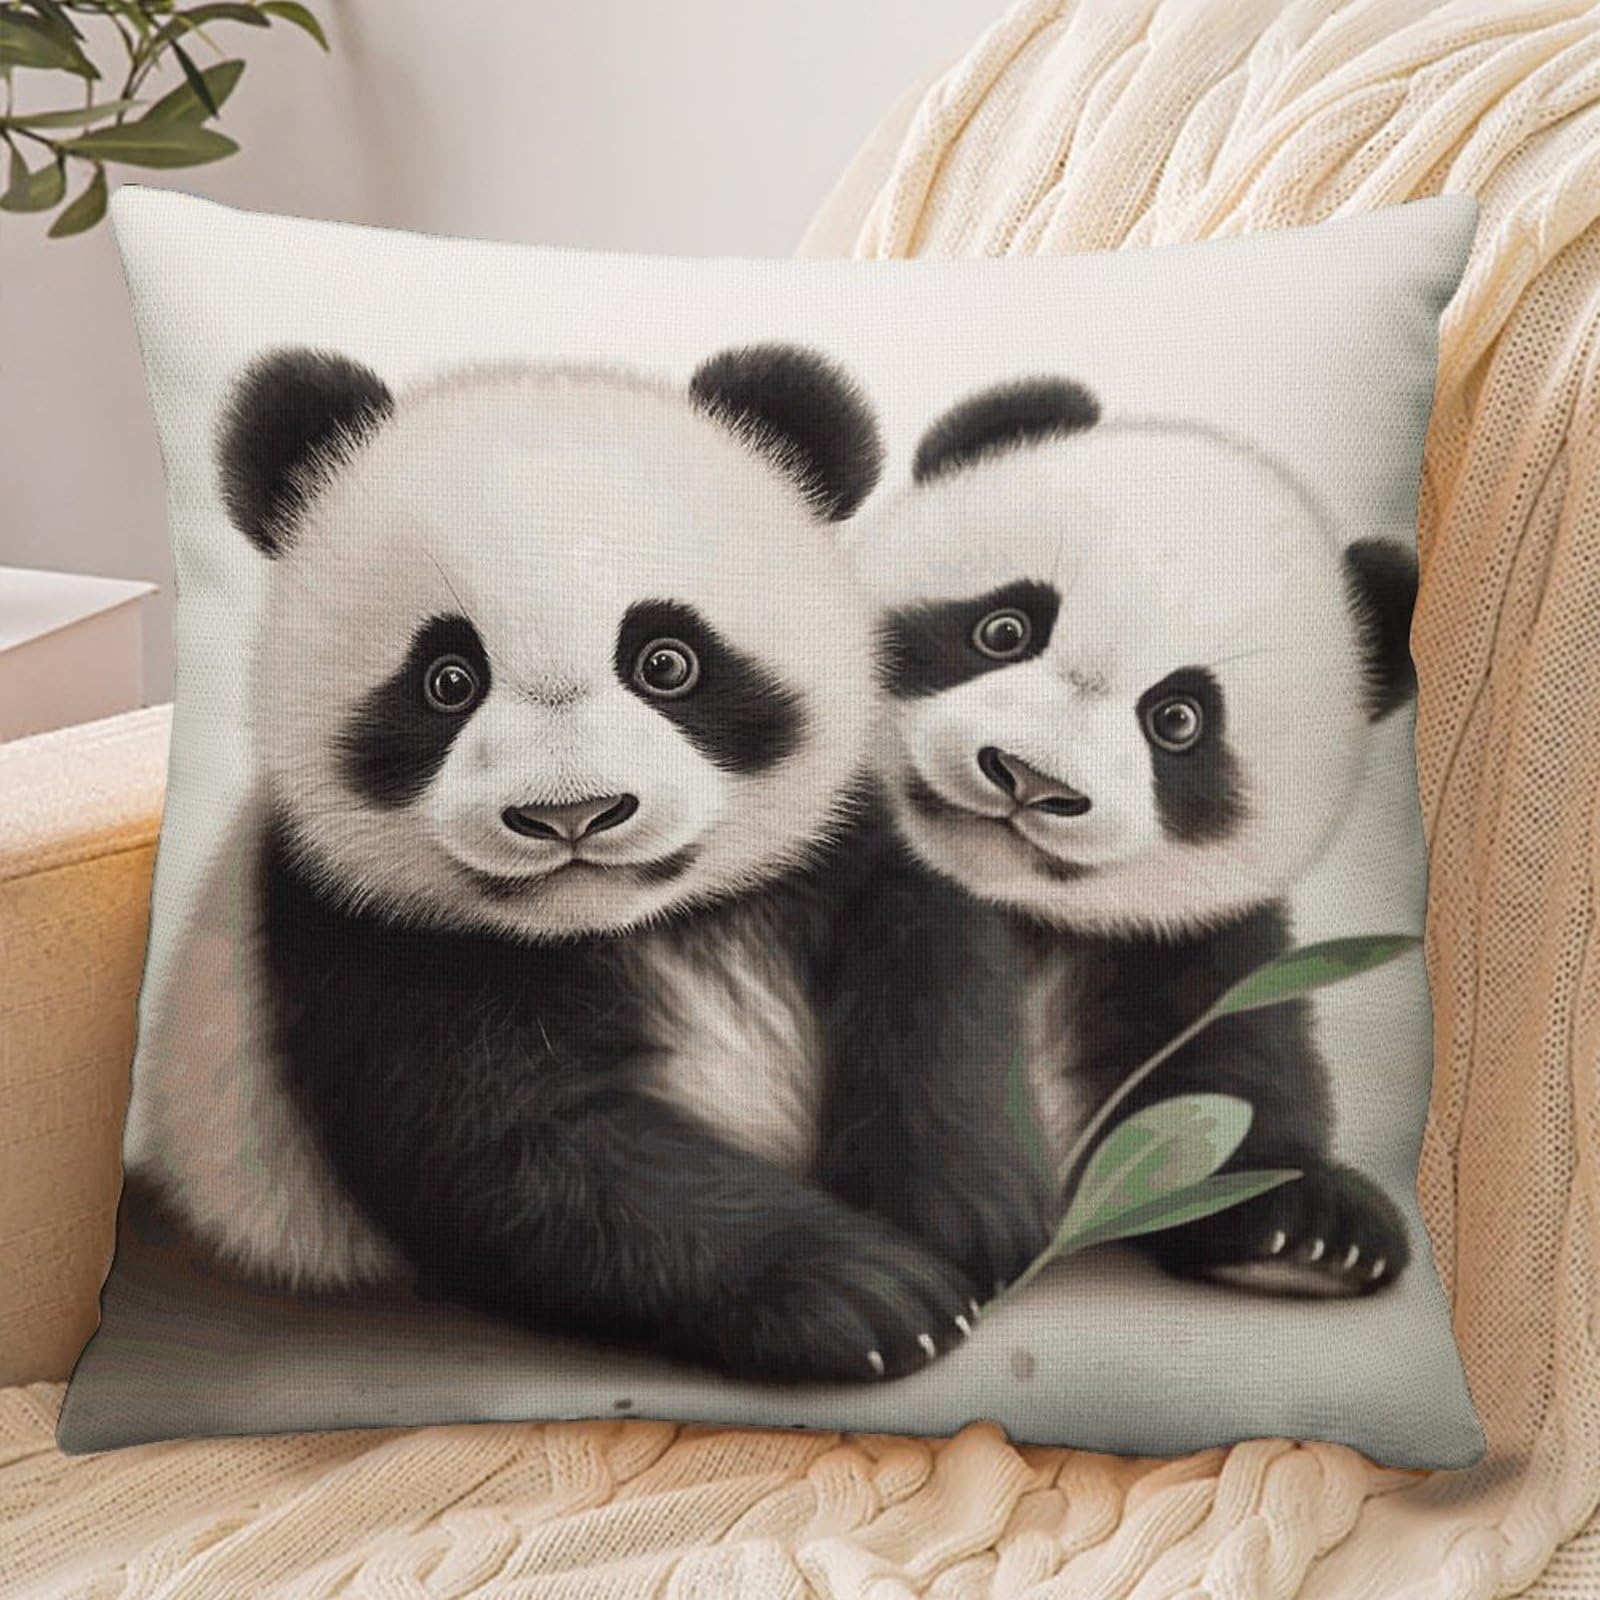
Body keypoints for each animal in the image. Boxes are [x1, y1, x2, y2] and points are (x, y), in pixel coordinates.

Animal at [123, 342, 1037, 1383]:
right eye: (448, 680)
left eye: (667, 660)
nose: (572, 815)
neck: (633, 923)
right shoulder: (353, 933)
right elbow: (521, 1151)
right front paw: (873, 1295)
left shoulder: (845, 831)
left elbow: (935, 978)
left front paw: (970, 1219)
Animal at [847, 378, 1420, 1298]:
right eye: (1004, 629)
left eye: (1178, 720)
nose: (1029, 778)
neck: (1018, 911)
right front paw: (958, 1218)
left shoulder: (1185, 937)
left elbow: (1234, 1056)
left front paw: (1307, 1233)